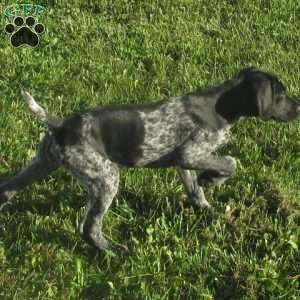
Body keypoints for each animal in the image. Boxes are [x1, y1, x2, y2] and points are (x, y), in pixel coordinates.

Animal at [0, 67, 300, 254]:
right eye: (281, 94)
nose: (298, 107)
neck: (221, 104)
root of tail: (60, 124)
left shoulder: (184, 159)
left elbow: (195, 190)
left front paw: (206, 209)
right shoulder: (191, 153)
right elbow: (229, 162)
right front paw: (212, 178)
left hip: (42, 163)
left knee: (7, 188)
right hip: (105, 177)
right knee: (89, 228)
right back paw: (115, 252)